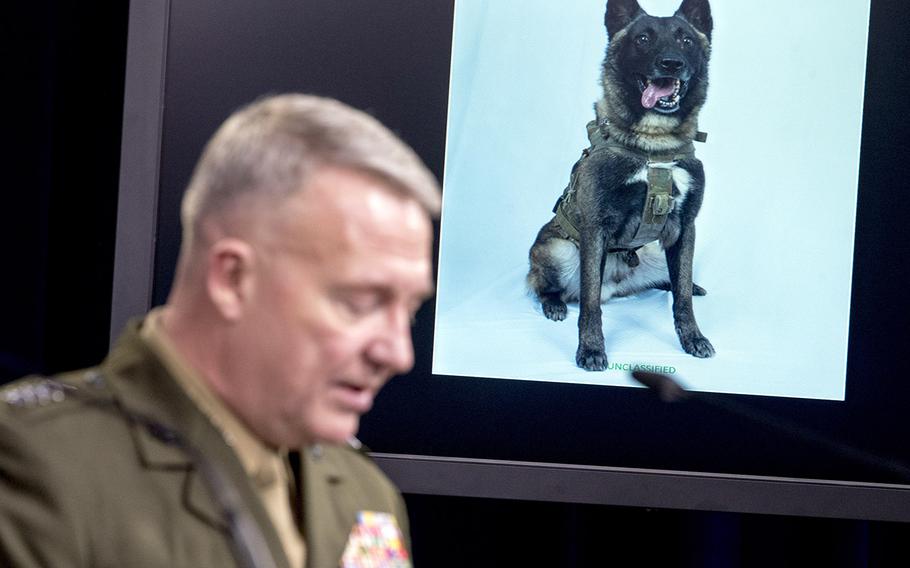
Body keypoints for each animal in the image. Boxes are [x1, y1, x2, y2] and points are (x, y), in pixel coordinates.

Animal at [532, 0, 716, 370]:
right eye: (643, 39)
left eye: (686, 40)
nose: (671, 63)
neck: (654, 146)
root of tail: (616, 287)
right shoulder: (595, 228)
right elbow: (589, 303)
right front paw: (591, 349)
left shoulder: (686, 228)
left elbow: (682, 297)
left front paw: (693, 338)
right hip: (557, 250)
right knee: (545, 285)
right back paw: (554, 304)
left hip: (656, 253)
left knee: (674, 281)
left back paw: (686, 285)